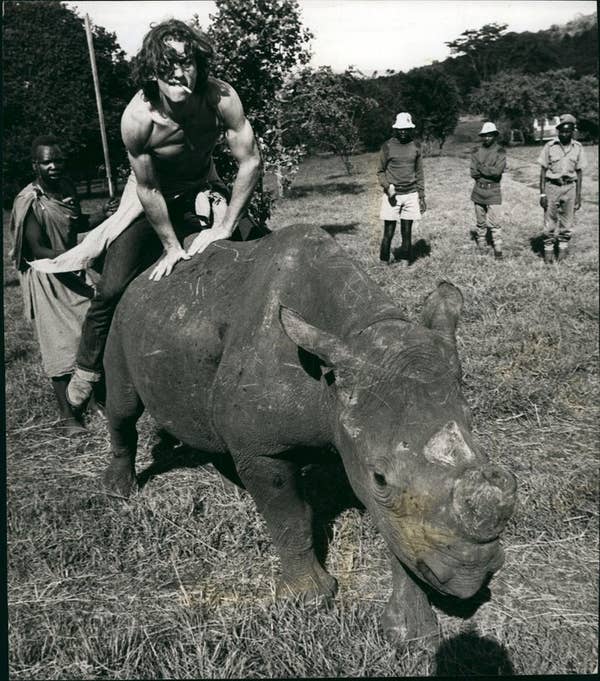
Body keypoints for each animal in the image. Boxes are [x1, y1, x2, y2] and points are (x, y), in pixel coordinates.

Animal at [103, 224, 516, 642]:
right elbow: (290, 518)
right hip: (124, 315)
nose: (470, 575)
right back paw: (119, 491)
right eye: (380, 478)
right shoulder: (265, 448)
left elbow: (401, 533)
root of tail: (148, 274)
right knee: (122, 403)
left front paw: (410, 633)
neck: (358, 333)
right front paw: (309, 599)